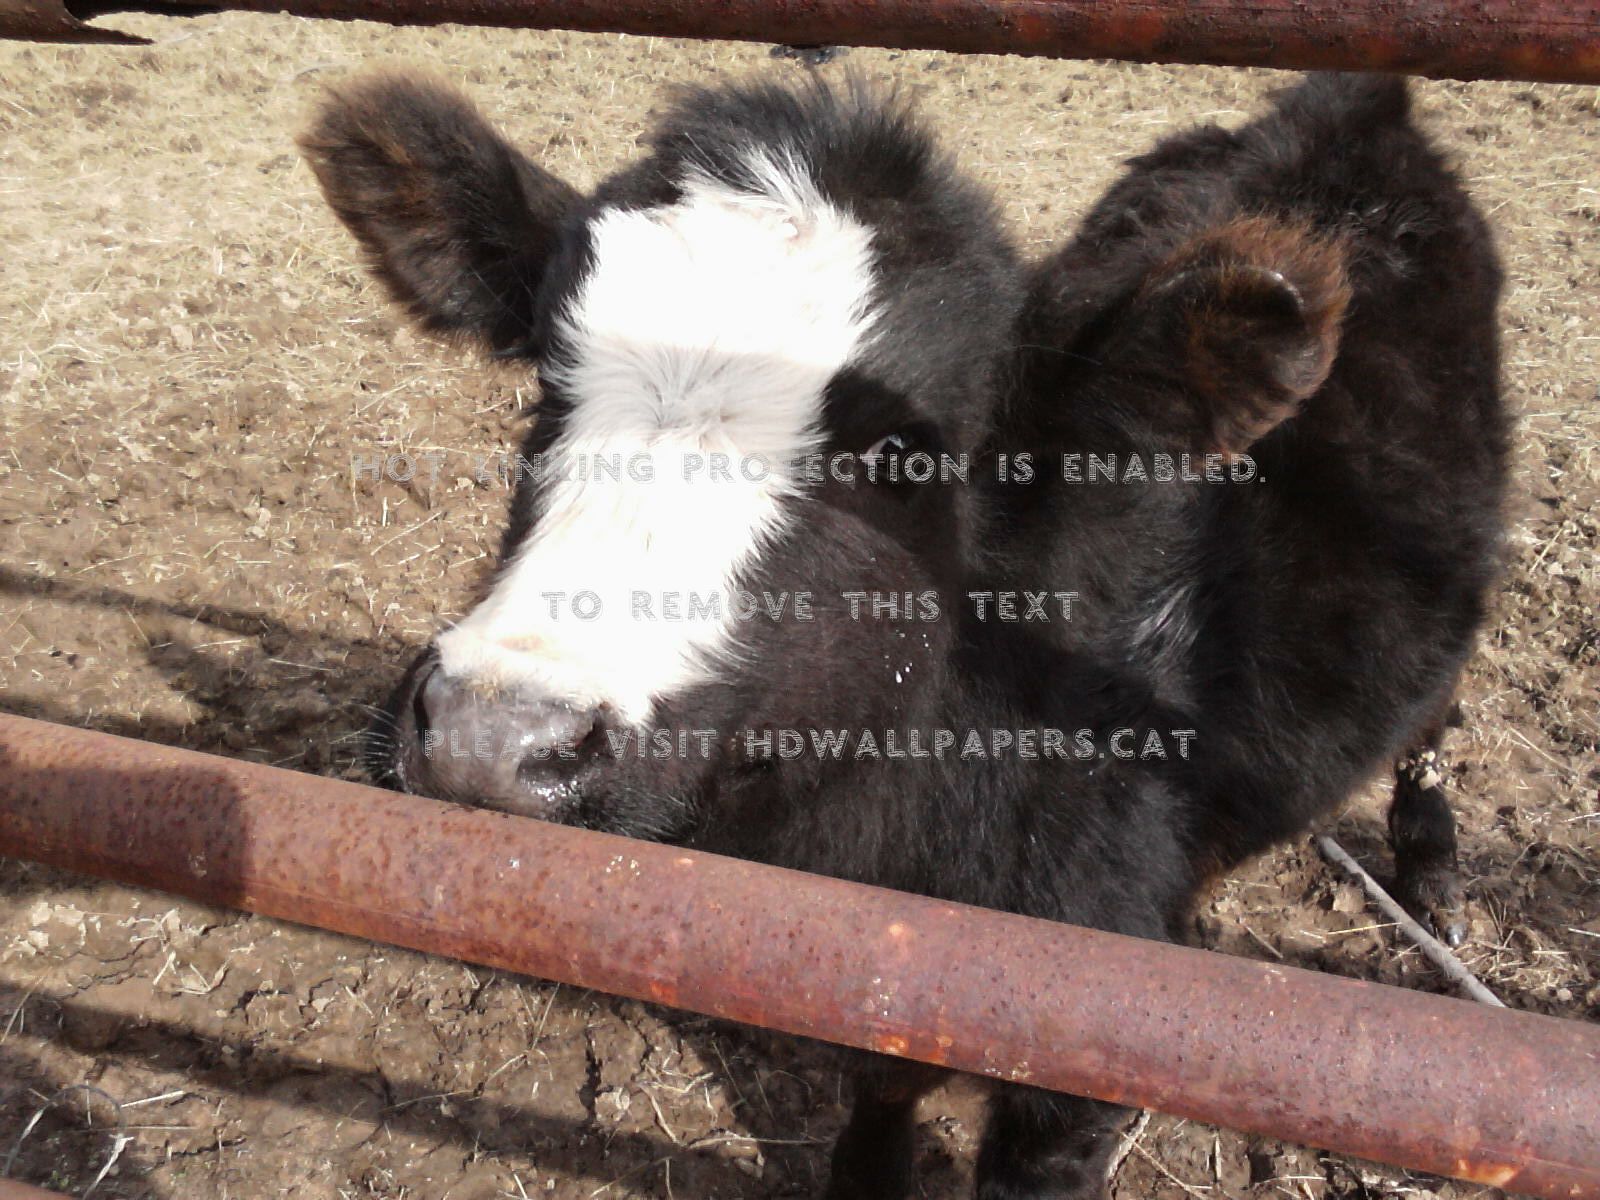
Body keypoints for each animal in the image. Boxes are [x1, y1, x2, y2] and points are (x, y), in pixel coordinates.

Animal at [300, 70, 1507, 1199]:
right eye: (548, 392)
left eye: (897, 458)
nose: (492, 739)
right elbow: (883, 1070)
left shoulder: (1105, 1035)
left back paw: (1432, 869)